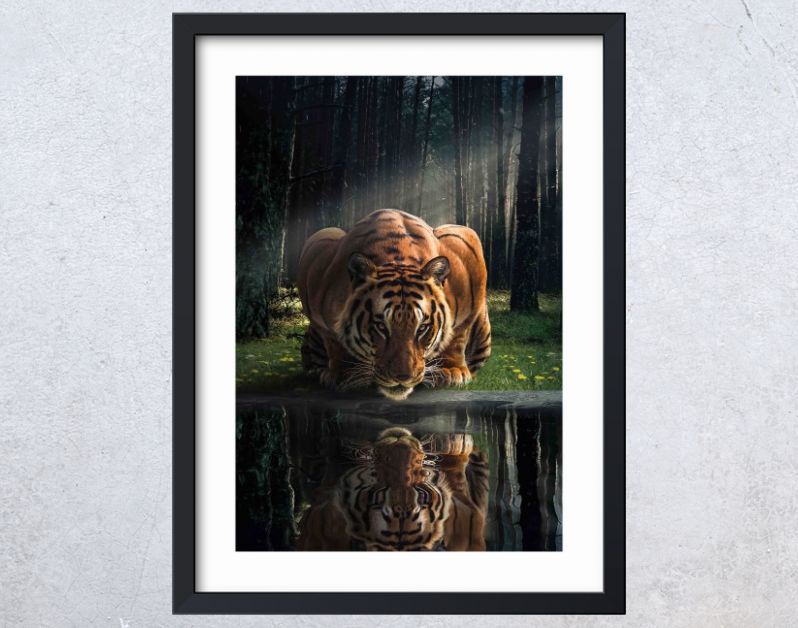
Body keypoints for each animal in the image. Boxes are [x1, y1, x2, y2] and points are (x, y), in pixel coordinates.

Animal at [297, 209, 491, 400]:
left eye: (422, 328)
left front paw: (451, 371)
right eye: (381, 327)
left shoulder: (467, 254)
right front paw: (345, 374)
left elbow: (457, 335)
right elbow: (334, 340)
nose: (402, 378)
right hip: (325, 233)